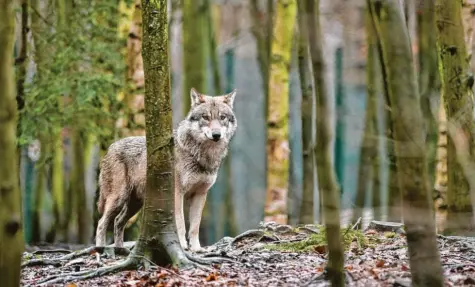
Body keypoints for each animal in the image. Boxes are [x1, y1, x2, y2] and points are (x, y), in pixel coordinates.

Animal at [95, 88, 238, 252]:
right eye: (205, 117)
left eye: (222, 117)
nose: (216, 135)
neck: (202, 155)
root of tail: (110, 147)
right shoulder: (177, 193)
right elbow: (181, 223)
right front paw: (182, 246)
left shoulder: (201, 194)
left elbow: (195, 226)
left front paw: (197, 248)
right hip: (118, 199)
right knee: (101, 223)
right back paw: (100, 249)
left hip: (135, 204)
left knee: (118, 221)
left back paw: (120, 250)